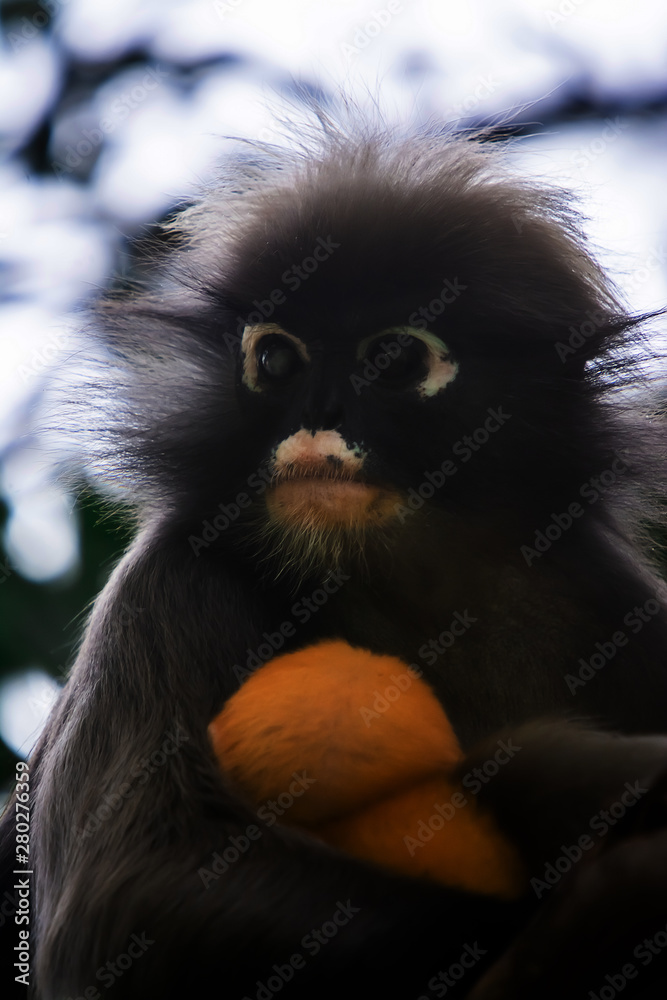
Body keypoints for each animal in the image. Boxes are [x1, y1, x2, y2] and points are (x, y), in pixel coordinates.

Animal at [1, 107, 667, 999]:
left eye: (393, 359)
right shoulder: (166, 584)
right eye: (276, 358)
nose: (317, 414)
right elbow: (130, 888)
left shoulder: (609, 592)